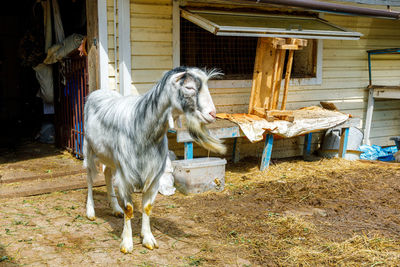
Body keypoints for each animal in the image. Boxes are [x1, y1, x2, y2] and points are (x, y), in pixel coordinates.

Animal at [83, 66, 227, 253]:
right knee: (89, 177)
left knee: (107, 173)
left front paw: (148, 238)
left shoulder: (153, 176)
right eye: (189, 87)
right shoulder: (126, 175)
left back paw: (115, 208)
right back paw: (90, 211)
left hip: (110, 156)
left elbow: (147, 207)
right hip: (88, 148)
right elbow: (129, 209)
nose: (212, 114)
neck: (144, 131)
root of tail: (98, 92)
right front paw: (127, 243)